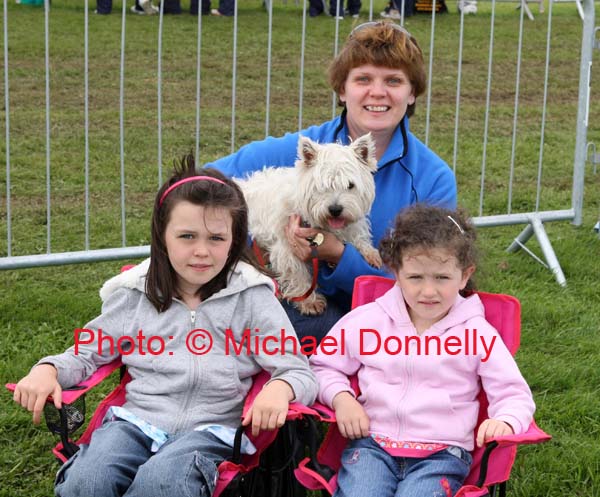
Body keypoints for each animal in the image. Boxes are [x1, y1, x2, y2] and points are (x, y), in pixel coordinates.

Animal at [238, 134, 380, 314]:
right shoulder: (287, 246)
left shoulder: (350, 224)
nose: (335, 209)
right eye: (322, 186)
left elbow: (357, 235)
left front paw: (370, 253)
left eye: (350, 185)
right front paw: (309, 301)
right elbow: (298, 273)